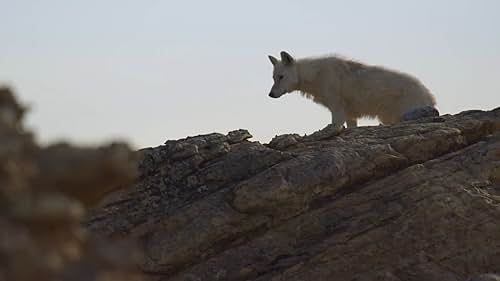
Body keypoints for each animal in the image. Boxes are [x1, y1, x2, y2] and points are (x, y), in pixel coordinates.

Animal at [268, 51, 436, 128]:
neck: (316, 75)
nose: (270, 94)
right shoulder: (350, 116)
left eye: (281, 77)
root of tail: (429, 96)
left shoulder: (337, 112)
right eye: (273, 78)